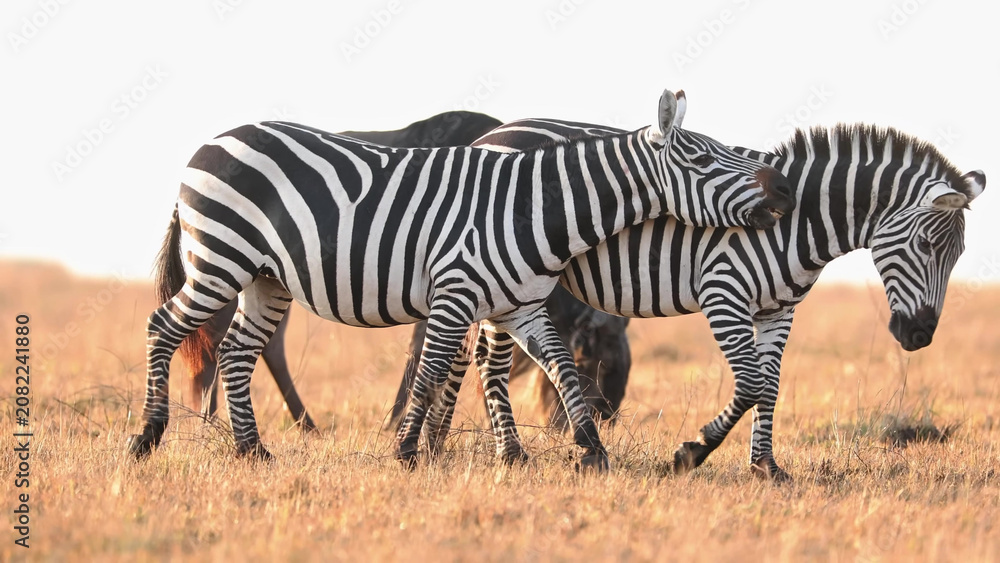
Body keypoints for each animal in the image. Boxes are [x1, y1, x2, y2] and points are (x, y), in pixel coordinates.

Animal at [398, 118, 984, 480]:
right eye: (928, 245)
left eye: (958, 257)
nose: (919, 336)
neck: (798, 221)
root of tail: (492, 134)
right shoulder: (723, 292)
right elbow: (749, 385)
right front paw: (689, 454)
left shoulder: (779, 310)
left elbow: (770, 387)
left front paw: (766, 468)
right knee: (489, 362)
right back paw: (507, 455)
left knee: (475, 357)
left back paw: (461, 447)